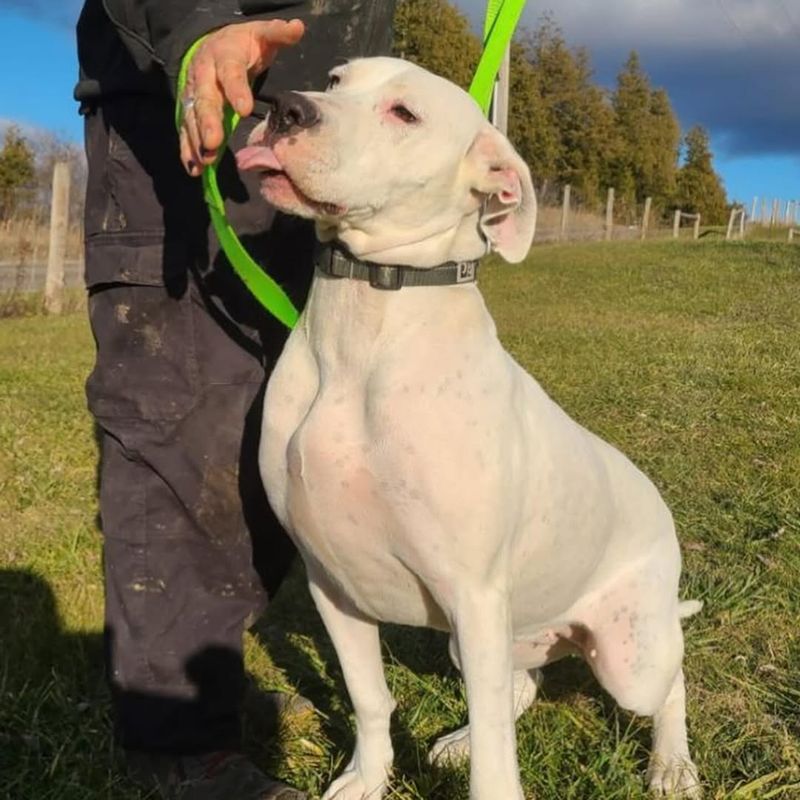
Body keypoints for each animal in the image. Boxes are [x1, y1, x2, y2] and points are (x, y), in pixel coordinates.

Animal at [238, 57, 700, 800]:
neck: (368, 320)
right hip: (493, 636)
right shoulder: (333, 583)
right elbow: (370, 698)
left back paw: (673, 765)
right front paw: (367, 778)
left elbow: (496, 760)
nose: (284, 108)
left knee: (670, 682)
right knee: (522, 685)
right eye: (335, 81)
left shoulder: (474, 594)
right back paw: (455, 742)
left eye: (405, 114)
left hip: (629, 653)